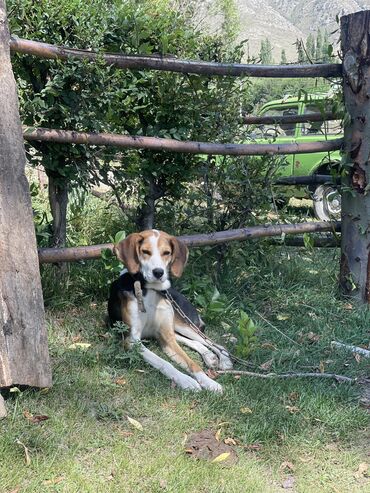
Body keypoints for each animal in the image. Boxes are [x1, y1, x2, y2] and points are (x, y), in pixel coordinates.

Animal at [107, 228, 233, 392]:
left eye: (166, 252)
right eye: (145, 251)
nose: (158, 272)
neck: (151, 290)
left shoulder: (166, 336)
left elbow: (192, 363)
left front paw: (209, 382)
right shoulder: (132, 340)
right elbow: (163, 362)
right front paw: (186, 380)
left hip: (182, 325)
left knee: (213, 342)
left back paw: (224, 359)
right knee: (195, 342)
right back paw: (210, 357)